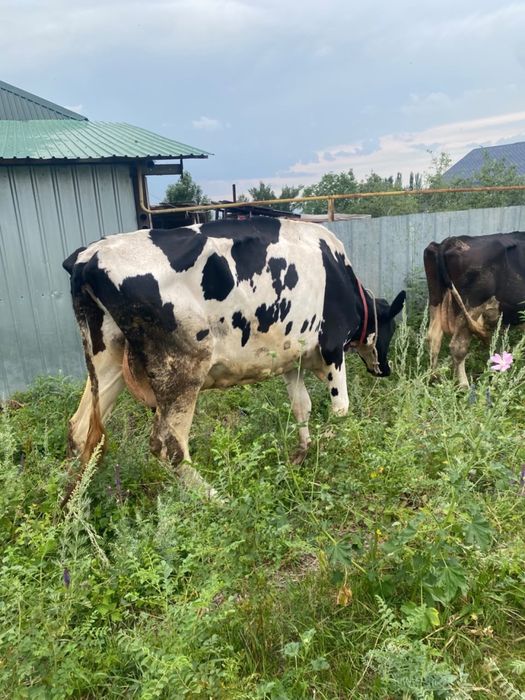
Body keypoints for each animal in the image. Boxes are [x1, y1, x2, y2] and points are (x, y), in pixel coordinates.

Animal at [62, 217, 405, 504]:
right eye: (392, 326)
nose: (385, 369)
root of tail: (87, 257)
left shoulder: (290, 360)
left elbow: (301, 407)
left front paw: (303, 453)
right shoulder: (333, 347)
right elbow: (341, 408)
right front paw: (333, 450)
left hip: (107, 359)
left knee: (80, 430)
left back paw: (75, 507)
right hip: (183, 368)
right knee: (168, 444)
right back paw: (217, 499)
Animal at [424, 231, 525, 387]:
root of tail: (451, 241)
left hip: (436, 298)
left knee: (434, 337)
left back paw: (433, 379)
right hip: (472, 305)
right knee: (458, 346)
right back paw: (464, 386)